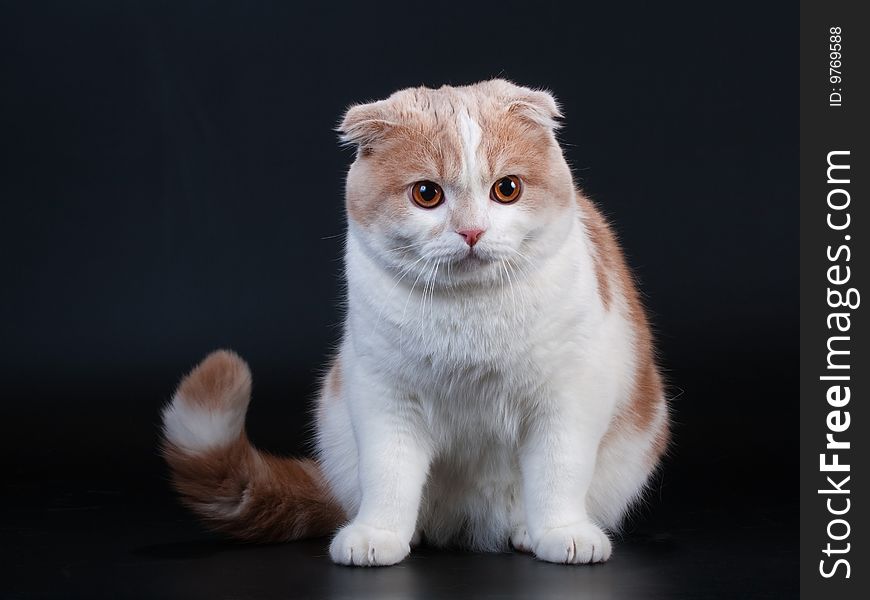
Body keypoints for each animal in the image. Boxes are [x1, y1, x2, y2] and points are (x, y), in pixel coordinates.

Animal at [160, 77, 672, 564]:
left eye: (507, 189)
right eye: (427, 194)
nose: (471, 231)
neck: (469, 318)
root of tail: (473, 526)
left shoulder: (566, 398)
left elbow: (559, 472)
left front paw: (562, 532)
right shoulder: (384, 396)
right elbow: (389, 472)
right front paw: (379, 534)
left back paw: (525, 532)